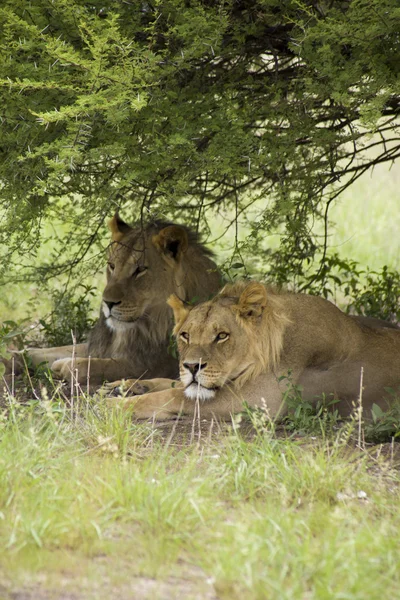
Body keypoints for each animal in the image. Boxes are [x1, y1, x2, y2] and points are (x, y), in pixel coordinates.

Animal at [105, 280, 400, 418]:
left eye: (222, 336)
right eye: (185, 336)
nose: (191, 366)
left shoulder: (258, 401)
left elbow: (174, 396)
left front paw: (113, 406)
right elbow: (171, 384)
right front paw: (123, 386)